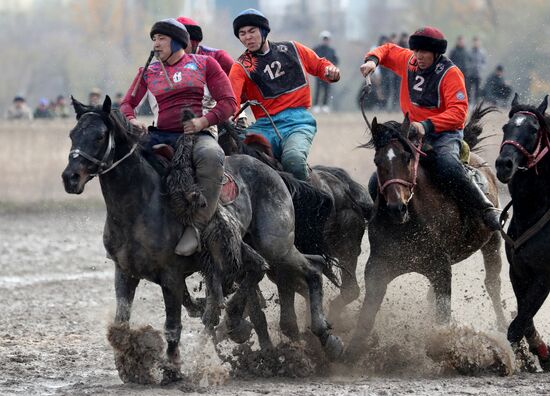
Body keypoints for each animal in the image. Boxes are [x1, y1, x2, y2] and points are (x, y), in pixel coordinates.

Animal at [60, 96, 344, 380]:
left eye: (99, 136)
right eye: (72, 134)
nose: (70, 177)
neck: (140, 206)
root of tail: (273, 172)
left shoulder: (171, 275)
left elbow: (172, 325)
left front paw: (172, 368)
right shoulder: (125, 272)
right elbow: (121, 323)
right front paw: (131, 367)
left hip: (276, 246)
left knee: (308, 270)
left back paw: (324, 338)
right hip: (252, 249)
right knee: (276, 271)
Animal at [350, 106, 508, 358]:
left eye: (407, 157)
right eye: (377, 160)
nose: (396, 208)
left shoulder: (441, 269)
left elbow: (443, 319)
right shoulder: (377, 269)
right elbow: (365, 320)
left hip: (492, 241)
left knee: (493, 284)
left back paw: (504, 329)